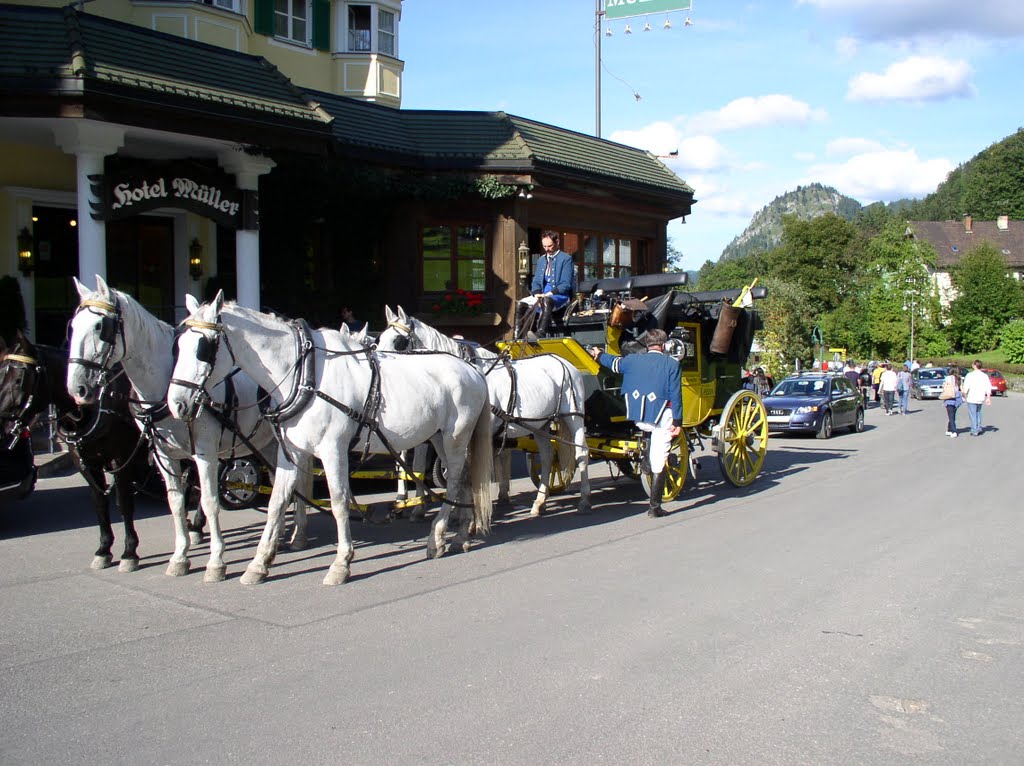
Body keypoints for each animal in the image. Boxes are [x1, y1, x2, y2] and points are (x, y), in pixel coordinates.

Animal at [65, 278, 299, 581]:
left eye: (99, 327)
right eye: (72, 326)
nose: (77, 388)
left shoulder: (205, 452)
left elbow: (209, 502)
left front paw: (216, 561)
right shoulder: (164, 454)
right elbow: (175, 502)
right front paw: (179, 557)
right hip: (267, 444)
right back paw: (282, 539)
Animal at [165, 290, 493, 581]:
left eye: (204, 347)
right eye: (177, 345)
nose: (177, 404)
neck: (306, 376)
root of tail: (472, 370)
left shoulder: (333, 450)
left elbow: (338, 502)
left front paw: (341, 563)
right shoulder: (291, 451)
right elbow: (277, 501)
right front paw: (258, 564)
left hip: (455, 437)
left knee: (453, 482)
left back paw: (436, 537)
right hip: (440, 438)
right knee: (464, 478)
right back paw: (461, 535)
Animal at [378, 305, 593, 514]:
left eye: (398, 341)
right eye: (379, 339)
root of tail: (563, 362)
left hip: (573, 416)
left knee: (581, 452)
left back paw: (584, 499)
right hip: (541, 424)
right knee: (548, 456)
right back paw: (540, 502)